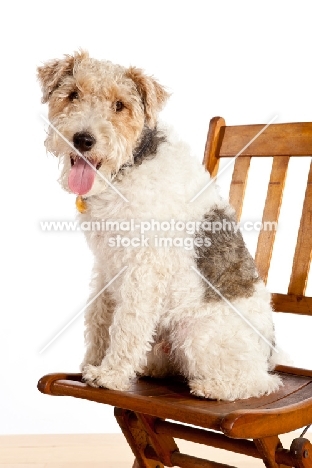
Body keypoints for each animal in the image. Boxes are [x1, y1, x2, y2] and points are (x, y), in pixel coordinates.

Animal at [37, 52, 282, 402]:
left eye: (120, 105)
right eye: (72, 94)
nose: (83, 140)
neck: (126, 169)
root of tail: (269, 353)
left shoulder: (144, 268)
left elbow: (126, 323)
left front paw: (109, 375)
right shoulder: (105, 264)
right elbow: (98, 318)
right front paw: (91, 364)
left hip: (199, 332)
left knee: (261, 382)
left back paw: (212, 387)